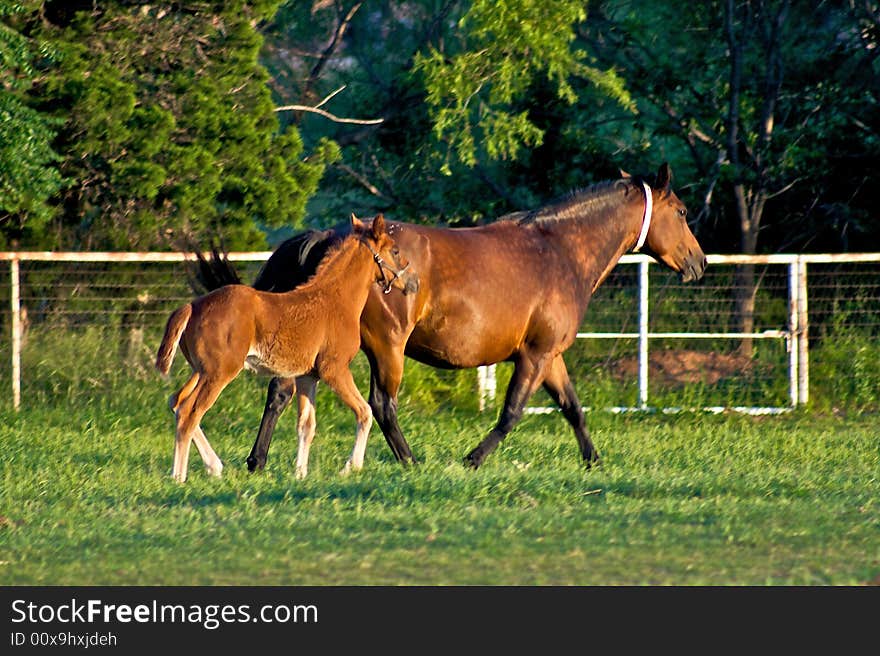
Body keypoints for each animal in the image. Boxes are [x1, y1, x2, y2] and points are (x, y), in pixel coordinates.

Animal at [156, 215, 418, 482]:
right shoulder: (334, 369)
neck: (335, 300)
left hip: (201, 371)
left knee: (176, 401)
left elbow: (306, 425)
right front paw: (351, 467)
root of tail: (191, 306)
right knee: (189, 413)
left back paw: (214, 466)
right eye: (395, 251)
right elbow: (365, 412)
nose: (414, 282)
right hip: (218, 373)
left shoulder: (307, 376)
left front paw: (300, 474)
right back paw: (179, 477)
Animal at [194, 163, 708, 472]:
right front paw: (471, 460)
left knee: (280, 393)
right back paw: (410, 462)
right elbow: (511, 413)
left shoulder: (551, 356)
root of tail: (331, 235)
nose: (699, 263)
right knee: (382, 405)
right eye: (683, 211)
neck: (558, 250)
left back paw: (257, 462)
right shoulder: (535, 355)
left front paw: (594, 462)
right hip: (386, 347)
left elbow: (572, 409)